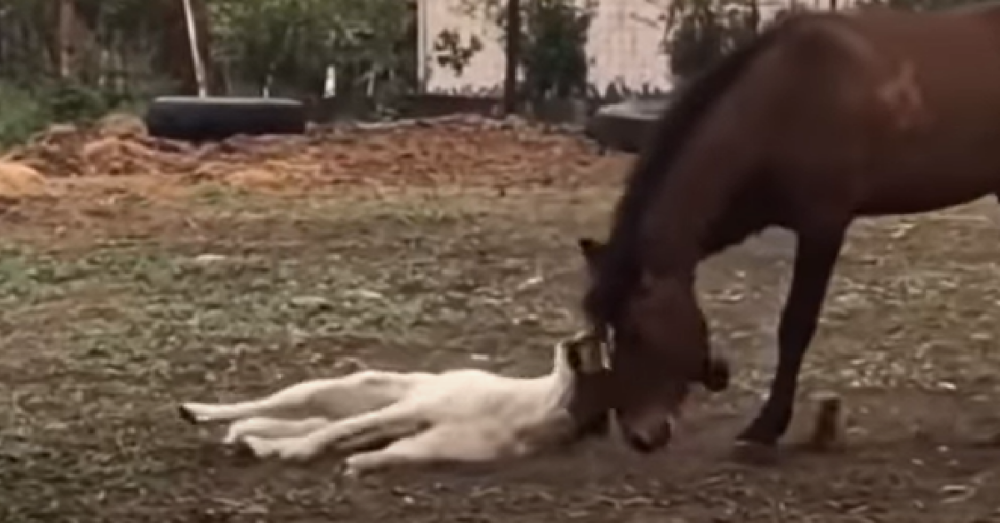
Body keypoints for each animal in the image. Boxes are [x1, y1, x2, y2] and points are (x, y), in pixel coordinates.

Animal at [178, 331, 611, 475]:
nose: (586, 332)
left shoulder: (428, 443)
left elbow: (382, 451)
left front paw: (354, 463)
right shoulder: (413, 410)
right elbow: (339, 432)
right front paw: (301, 452)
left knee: (305, 425)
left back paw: (254, 441)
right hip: (342, 390)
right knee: (289, 407)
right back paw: (200, 411)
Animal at [580, 3, 1000, 457]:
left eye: (637, 333)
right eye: (605, 334)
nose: (640, 435)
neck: (783, 101)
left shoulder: (823, 224)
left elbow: (795, 326)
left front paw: (765, 427)